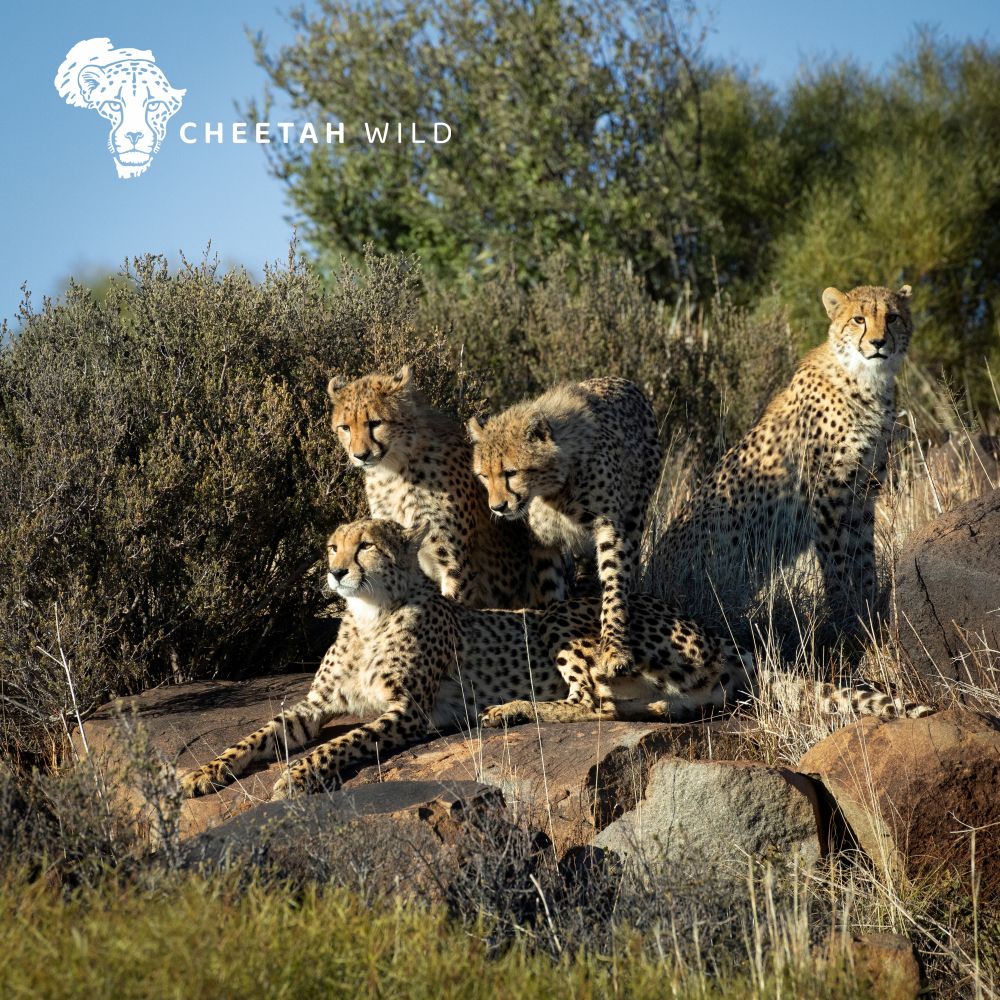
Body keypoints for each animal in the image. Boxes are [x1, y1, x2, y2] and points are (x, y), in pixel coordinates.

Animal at [180, 518, 933, 798]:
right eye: (331, 545)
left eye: (364, 546)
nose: (334, 571)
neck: (368, 616)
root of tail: (709, 630)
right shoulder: (314, 706)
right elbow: (260, 734)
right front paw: (200, 775)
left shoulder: (406, 713)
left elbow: (343, 743)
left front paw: (297, 777)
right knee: (658, 708)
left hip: (566, 628)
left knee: (595, 705)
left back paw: (510, 709)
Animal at [468, 377, 662, 681]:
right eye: (484, 475)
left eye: (510, 472)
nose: (498, 507)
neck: (554, 489)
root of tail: (622, 381)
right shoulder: (542, 542)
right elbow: (550, 588)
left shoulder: (610, 528)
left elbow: (614, 586)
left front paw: (615, 650)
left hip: (636, 513)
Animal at [654, 284, 914, 632]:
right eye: (858, 319)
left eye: (893, 317)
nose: (878, 343)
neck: (867, 381)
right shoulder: (827, 496)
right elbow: (836, 564)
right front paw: (844, 617)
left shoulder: (863, 495)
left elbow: (864, 559)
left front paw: (868, 609)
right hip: (725, 527)